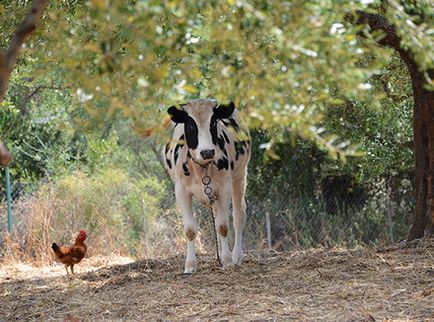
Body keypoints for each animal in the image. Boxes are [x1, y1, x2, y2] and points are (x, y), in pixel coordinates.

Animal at [163, 98, 251, 272]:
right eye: (191, 125)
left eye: (213, 123)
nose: (207, 152)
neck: (201, 167)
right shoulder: (181, 191)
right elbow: (190, 229)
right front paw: (190, 265)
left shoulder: (224, 187)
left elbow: (223, 226)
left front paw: (227, 260)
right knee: (216, 215)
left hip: (239, 176)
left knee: (238, 215)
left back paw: (236, 255)